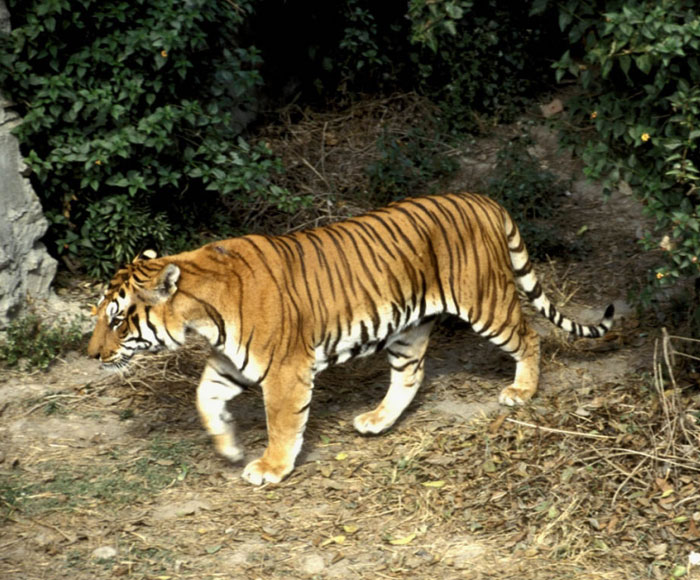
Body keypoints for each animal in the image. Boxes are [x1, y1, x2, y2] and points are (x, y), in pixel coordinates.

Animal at [87, 192, 614, 485]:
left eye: (117, 320)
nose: (91, 355)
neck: (201, 315)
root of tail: (483, 199)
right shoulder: (229, 364)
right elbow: (203, 398)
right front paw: (228, 446)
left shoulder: (285, 370)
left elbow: (283, 423)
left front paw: (269, 468)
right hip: (406, 328)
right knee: (410, 376)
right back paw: (377, 421)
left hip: (485, 302)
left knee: (530, 336)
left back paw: (521, 391)